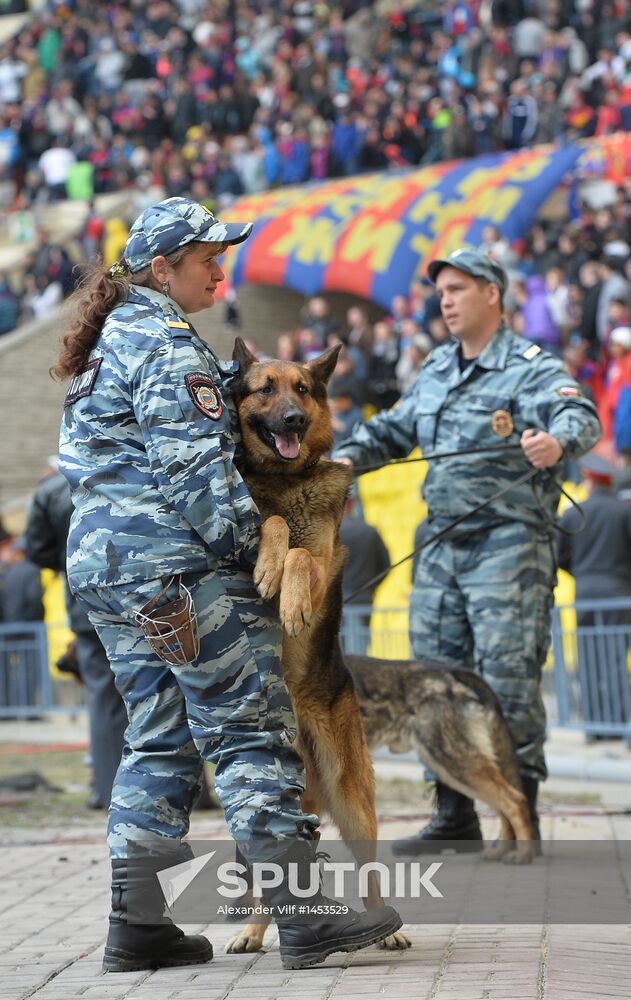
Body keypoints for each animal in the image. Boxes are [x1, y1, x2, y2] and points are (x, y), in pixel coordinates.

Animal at [227, 342, 532, 952]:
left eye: (302, 389)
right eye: (266, 388)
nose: (293, 421)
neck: (287, 481)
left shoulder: (324, 568)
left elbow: (302, 555)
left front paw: (289, 595)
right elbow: (273, 527)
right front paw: (271, 562)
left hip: (358, 793)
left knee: (372, 868)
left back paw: (385, 926)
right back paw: (254, 931)